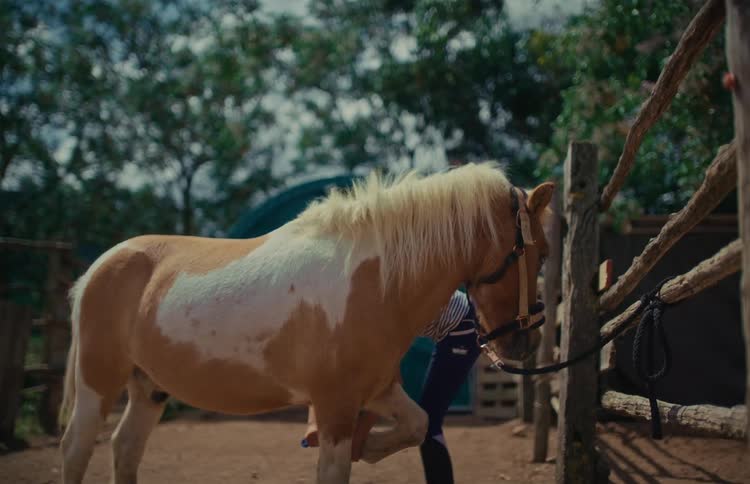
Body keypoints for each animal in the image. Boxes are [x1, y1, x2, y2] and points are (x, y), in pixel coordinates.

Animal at [58, 162, 554, 484]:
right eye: (542, 252)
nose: (524, 342)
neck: (373, 279)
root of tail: (99, 266)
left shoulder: (377, 390)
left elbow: (417, 423)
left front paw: (371, 447)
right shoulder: (335, 406)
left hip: (149, 387)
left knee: (124, 448)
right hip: (97, 383)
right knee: (76, 449)